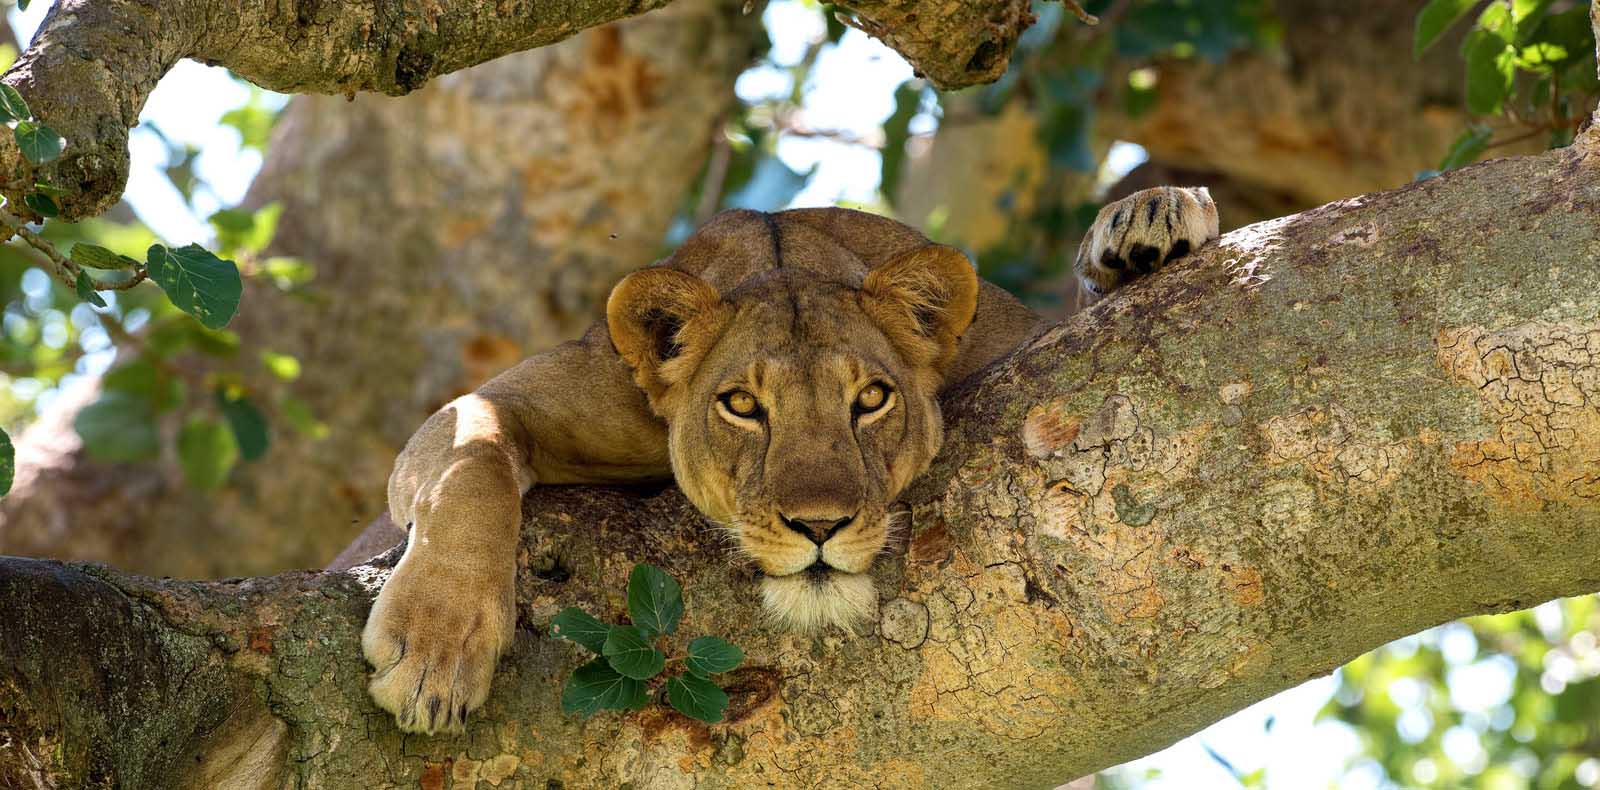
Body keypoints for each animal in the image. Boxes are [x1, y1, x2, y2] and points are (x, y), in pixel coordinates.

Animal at [361, 187, 1219, 734]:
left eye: (871, 398)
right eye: (742, 404)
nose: (819, 526)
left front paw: (1148, 222)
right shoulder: (508, 404)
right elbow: (471, 462)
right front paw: (435, 652)